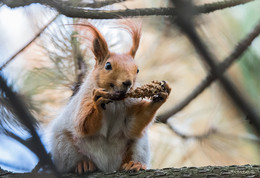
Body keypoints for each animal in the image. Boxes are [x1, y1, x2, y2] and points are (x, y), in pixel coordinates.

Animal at [47, 20, 172, 174]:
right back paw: (83, 164)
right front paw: (98, 102)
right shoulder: (83, 100)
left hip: (139, 145)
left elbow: (133, 124)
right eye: (108, 65)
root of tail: (107, 166)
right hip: (63, 145)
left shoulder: (129, 108)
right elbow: (83, 125)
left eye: (137, 69)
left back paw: (134, 164)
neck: (115, 102)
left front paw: (161, 94)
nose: (128, 82)